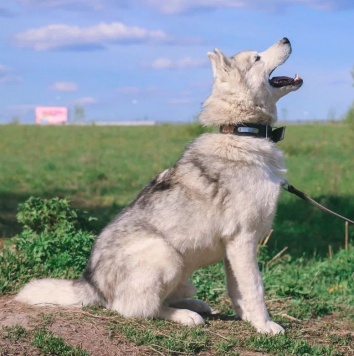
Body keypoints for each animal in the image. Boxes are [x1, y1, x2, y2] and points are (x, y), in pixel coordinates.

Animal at [14, 37, 302, 336]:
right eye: (257, 58)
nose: (286, 38)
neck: (242, 132)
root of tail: (91, 284)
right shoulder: (243, 239)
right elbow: (255, 288)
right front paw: (265, 325)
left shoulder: (233, 248)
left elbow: (239, 291)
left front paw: (249, 320)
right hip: (167, 255)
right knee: (137, 309)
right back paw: (187, 316)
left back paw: (195, 305)